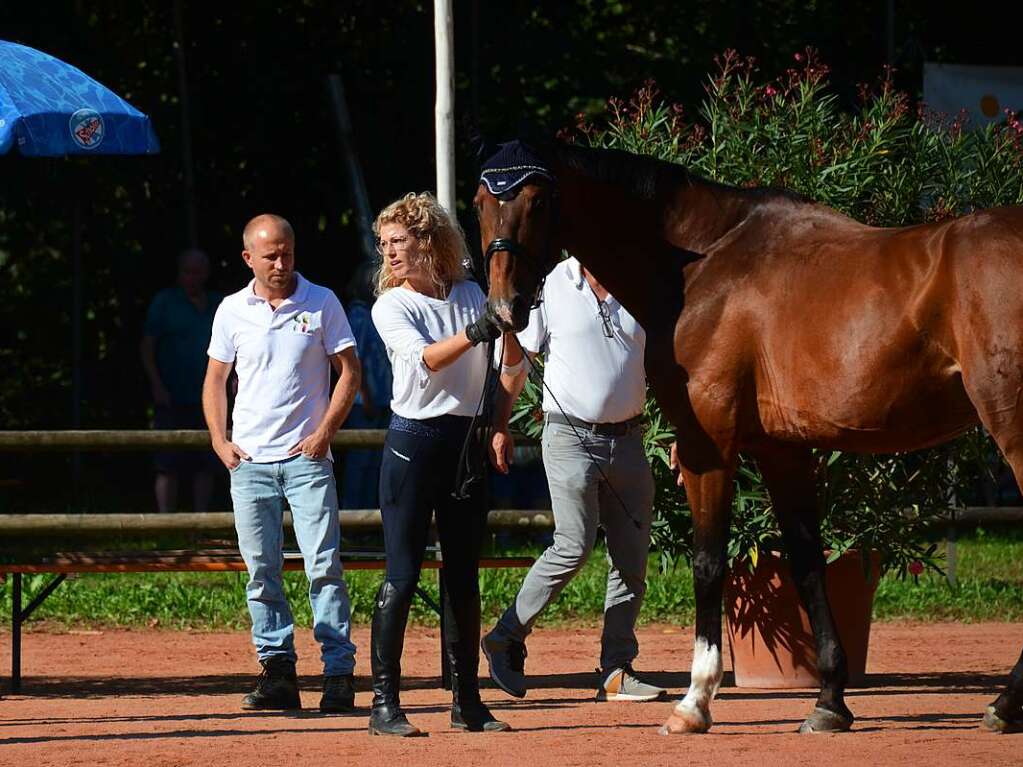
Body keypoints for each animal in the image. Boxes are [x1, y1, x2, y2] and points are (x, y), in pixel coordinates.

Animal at [474, 144, 1023, 740]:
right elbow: (807, 563)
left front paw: (695, 701)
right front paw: (830, 702)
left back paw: (1004, 705)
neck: (700, 262)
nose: (503, 309)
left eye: (538, 201)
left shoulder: (707, 444)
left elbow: (709, 562)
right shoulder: (781, 449)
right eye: (481, 202)